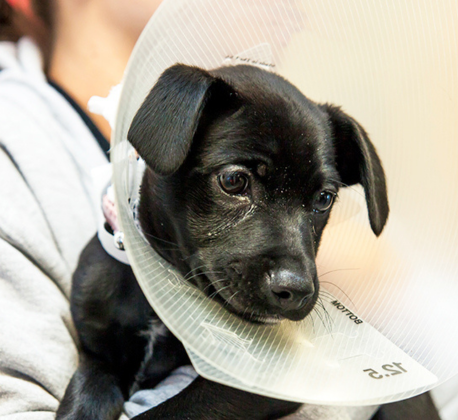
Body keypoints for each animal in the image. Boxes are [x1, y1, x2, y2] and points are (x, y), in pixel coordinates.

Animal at [55, 63, 388, 420]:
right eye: (233, 180)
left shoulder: (252, 387)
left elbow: (162, 414)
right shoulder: (98, 357)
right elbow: (85, 394)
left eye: (324, 199)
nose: (296, 290)